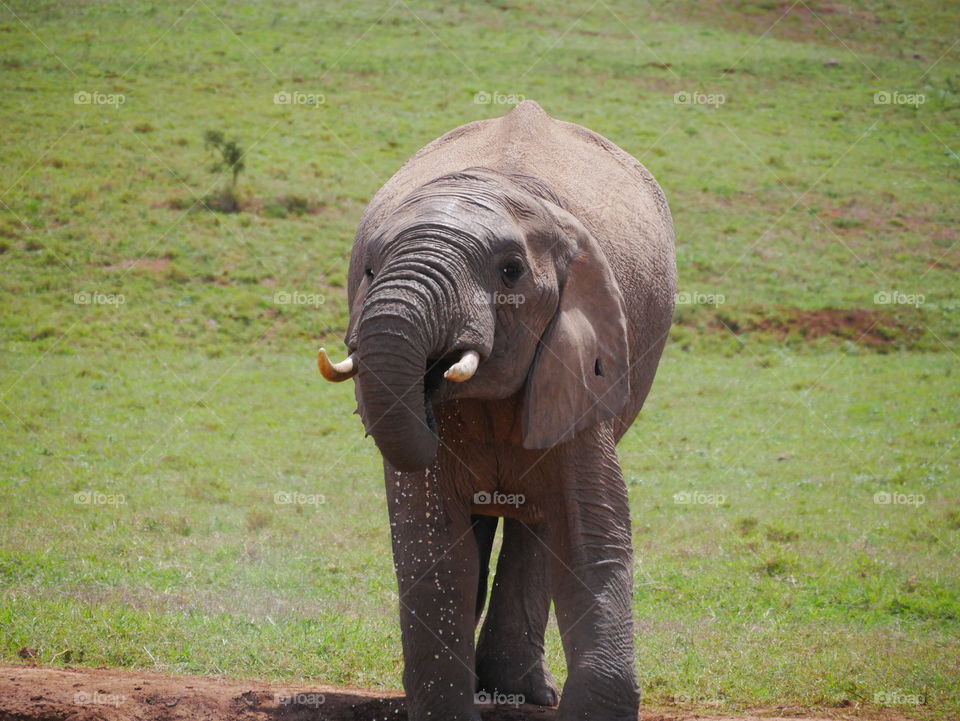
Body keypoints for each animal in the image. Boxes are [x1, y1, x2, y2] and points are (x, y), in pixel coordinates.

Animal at [317, 100, 676, 720]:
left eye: (510, 272)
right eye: (367, 271)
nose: (429, 383)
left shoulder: (580, 366)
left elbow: (591, 537)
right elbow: (434, 547)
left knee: (540, 526)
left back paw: (521, 693)